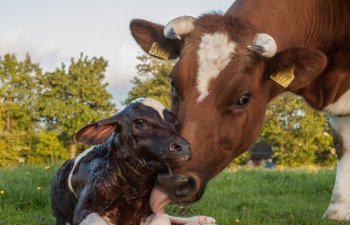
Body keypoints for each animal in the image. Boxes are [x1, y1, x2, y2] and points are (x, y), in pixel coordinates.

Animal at [51, 99, 194, 225]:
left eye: (175, 123)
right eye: (140, 121)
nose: (184, 146)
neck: (134, 187)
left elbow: (162, 219)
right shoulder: (84, 209)